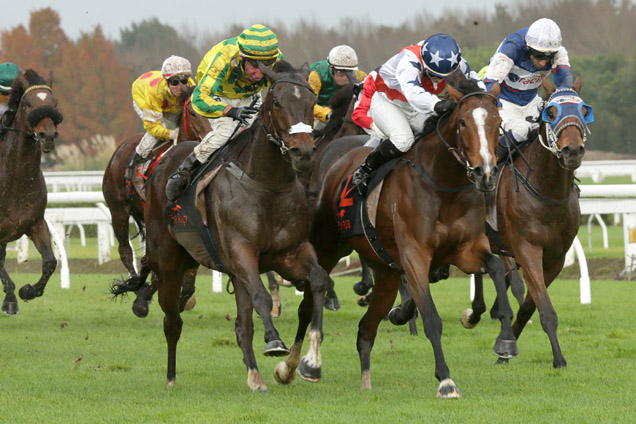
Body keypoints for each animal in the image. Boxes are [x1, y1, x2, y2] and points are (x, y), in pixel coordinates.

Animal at [0, 69, 63, 314]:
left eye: (54, 103)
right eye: (27, 104)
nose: (47, 135)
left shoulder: (35, 222)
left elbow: (50, 262)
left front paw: (28, 291)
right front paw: (10, 298)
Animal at [102, 87, 210, 318]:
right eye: (193, 113)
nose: (208, 138)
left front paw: (182, 297)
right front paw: (142, 298)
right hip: (118, 210)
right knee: (125, 250)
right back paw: (136, 286)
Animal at [135, 62, 332, 390]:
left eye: (311, 101)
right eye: (276, 102)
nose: (302, 153)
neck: (267, 184)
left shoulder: (289, 253)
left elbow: (318, 280)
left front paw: (312, 363)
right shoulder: (241, 251)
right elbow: (262, 297)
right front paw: (274, 341)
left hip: (230, 272)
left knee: (242, 325)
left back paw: (255, 376)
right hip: (169, 264)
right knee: (172, 321)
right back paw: (171, 378)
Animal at [310, 73, 520, 398]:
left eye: (497, 122)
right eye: (462, 122)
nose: (484, 174)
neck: (443, 185)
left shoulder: (466, 249)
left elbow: (496, 268)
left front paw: (505, 338)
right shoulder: (415, 256)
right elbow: (431, 318)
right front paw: (446, 380)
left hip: (383, 267)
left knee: (366, 327)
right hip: (330, 246)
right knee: (316, 288)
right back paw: (307, 362)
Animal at [462, 76, 592, 368]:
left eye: (583, 111)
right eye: (551, 113)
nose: (573, 151)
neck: (548, 193)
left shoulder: (555, 257)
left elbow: (530, 305)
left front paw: (504, 349)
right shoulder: (528, 248)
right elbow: (545, 307)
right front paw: (559, 359)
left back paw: (477, 312)